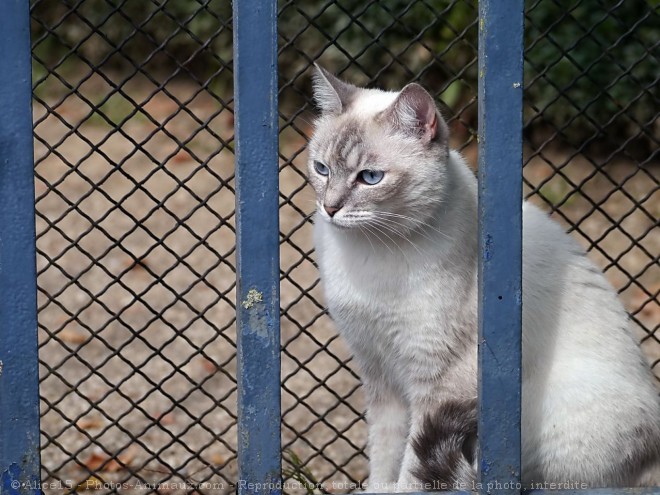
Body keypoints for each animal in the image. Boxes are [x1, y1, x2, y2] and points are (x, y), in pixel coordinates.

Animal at [308, 66, 660, 492]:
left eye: (370, 178)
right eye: (321, 169)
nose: (329, 209)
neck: (369, 254)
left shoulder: (439, 383)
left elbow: (414, 470)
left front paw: (401, 486)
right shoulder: (379, 375)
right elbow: (384, 456)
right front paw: (378, 488)